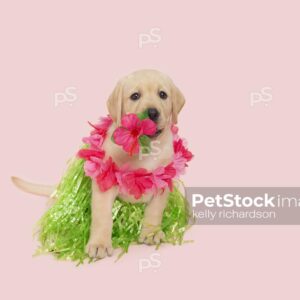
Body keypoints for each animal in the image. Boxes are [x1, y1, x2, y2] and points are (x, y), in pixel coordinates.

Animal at [12, 69, 186, 258]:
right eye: (135, 96)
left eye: (163, 94)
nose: (152, 112)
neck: (145, 145)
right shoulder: (105, 180)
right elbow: (103, 217)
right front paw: (99, 244)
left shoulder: (163, 180)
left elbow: (155, 210)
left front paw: (151, 232)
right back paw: (54, 237)